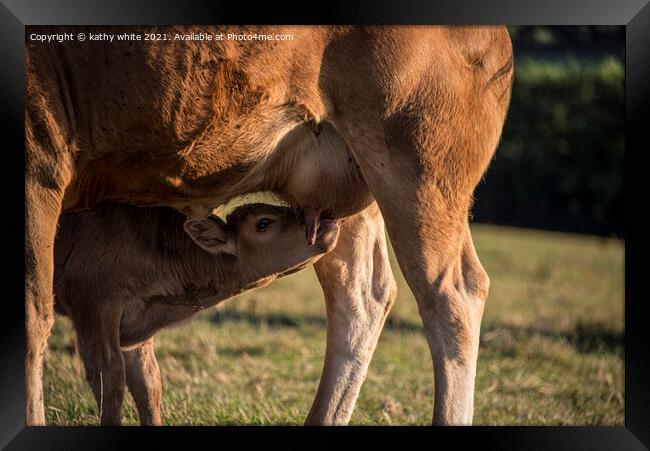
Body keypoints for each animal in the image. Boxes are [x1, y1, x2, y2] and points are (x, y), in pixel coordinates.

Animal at [53, 203, 340, 426]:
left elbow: (148, 383)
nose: (327, 220)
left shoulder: (135, 327)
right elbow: (108, 379)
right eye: (263, 223)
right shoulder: (93, 305)